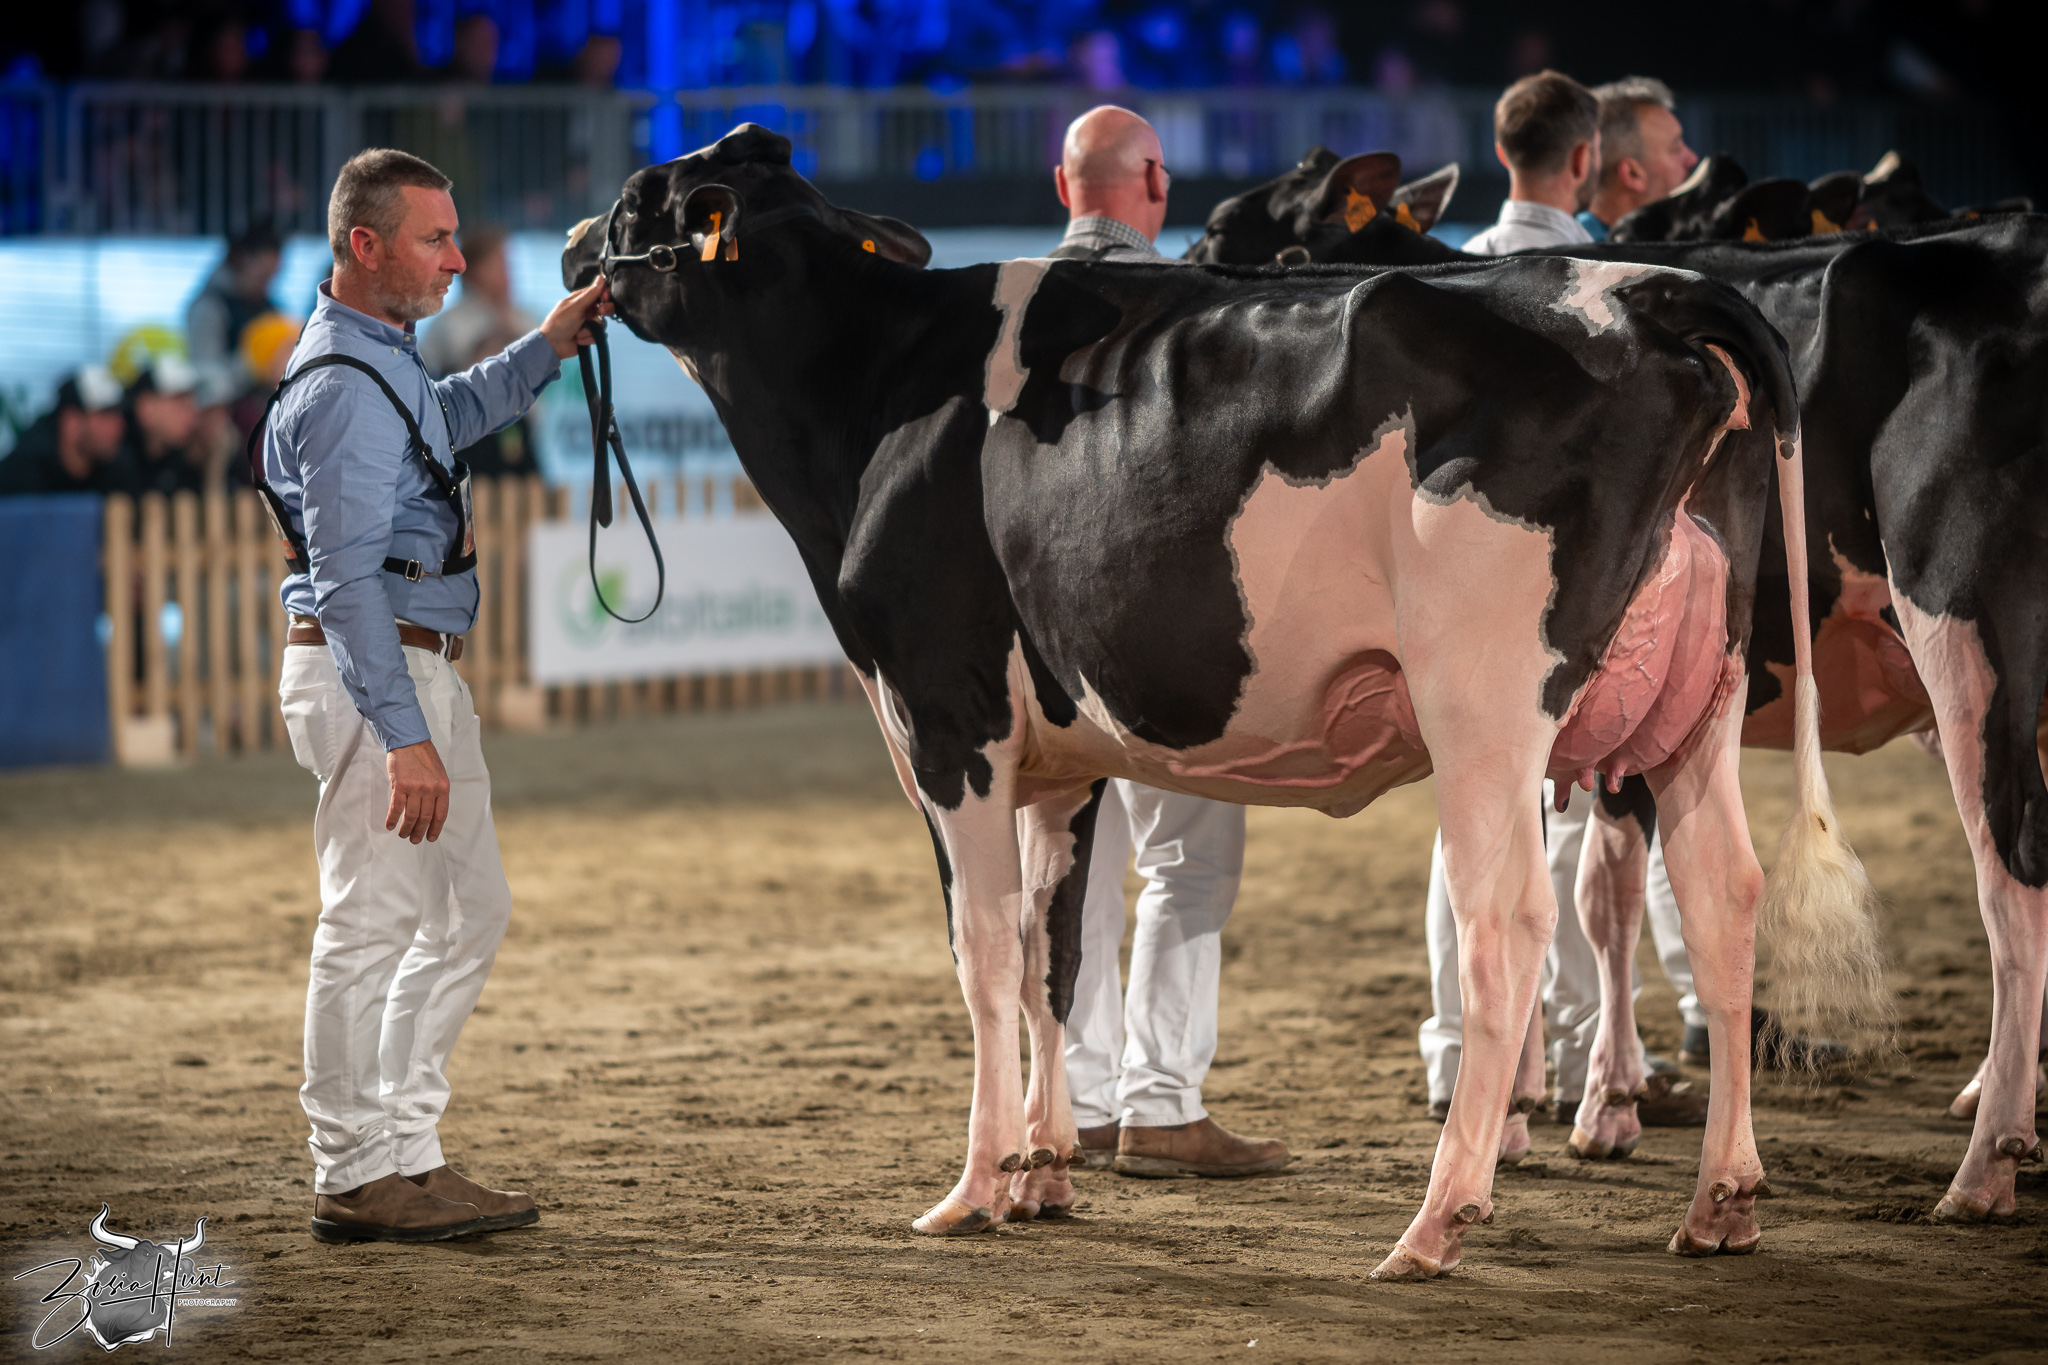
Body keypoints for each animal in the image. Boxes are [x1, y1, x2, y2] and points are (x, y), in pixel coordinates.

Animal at [564, 123, 1886, 1278]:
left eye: (633, 208)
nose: (574, 249)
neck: (874, 386)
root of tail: (1641, 290)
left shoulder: (944, 718)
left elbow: (981, 952)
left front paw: (974, 1186)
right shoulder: (1059, 758)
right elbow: (1051, 952)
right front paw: (1045, 1171)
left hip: (1487, 698)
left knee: (1506, 919)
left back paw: (1438, 1220)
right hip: (1697, 691)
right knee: (1721, 894)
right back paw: (1720, 1201)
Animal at [1190, 150, 2048, 1224]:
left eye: (1225, 232)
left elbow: (1595, 898)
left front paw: (1582, 1105)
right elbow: (1603, 892)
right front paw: (1556, 1101)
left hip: (1966, 624)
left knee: (2010, 875)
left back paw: (1985, 1161)